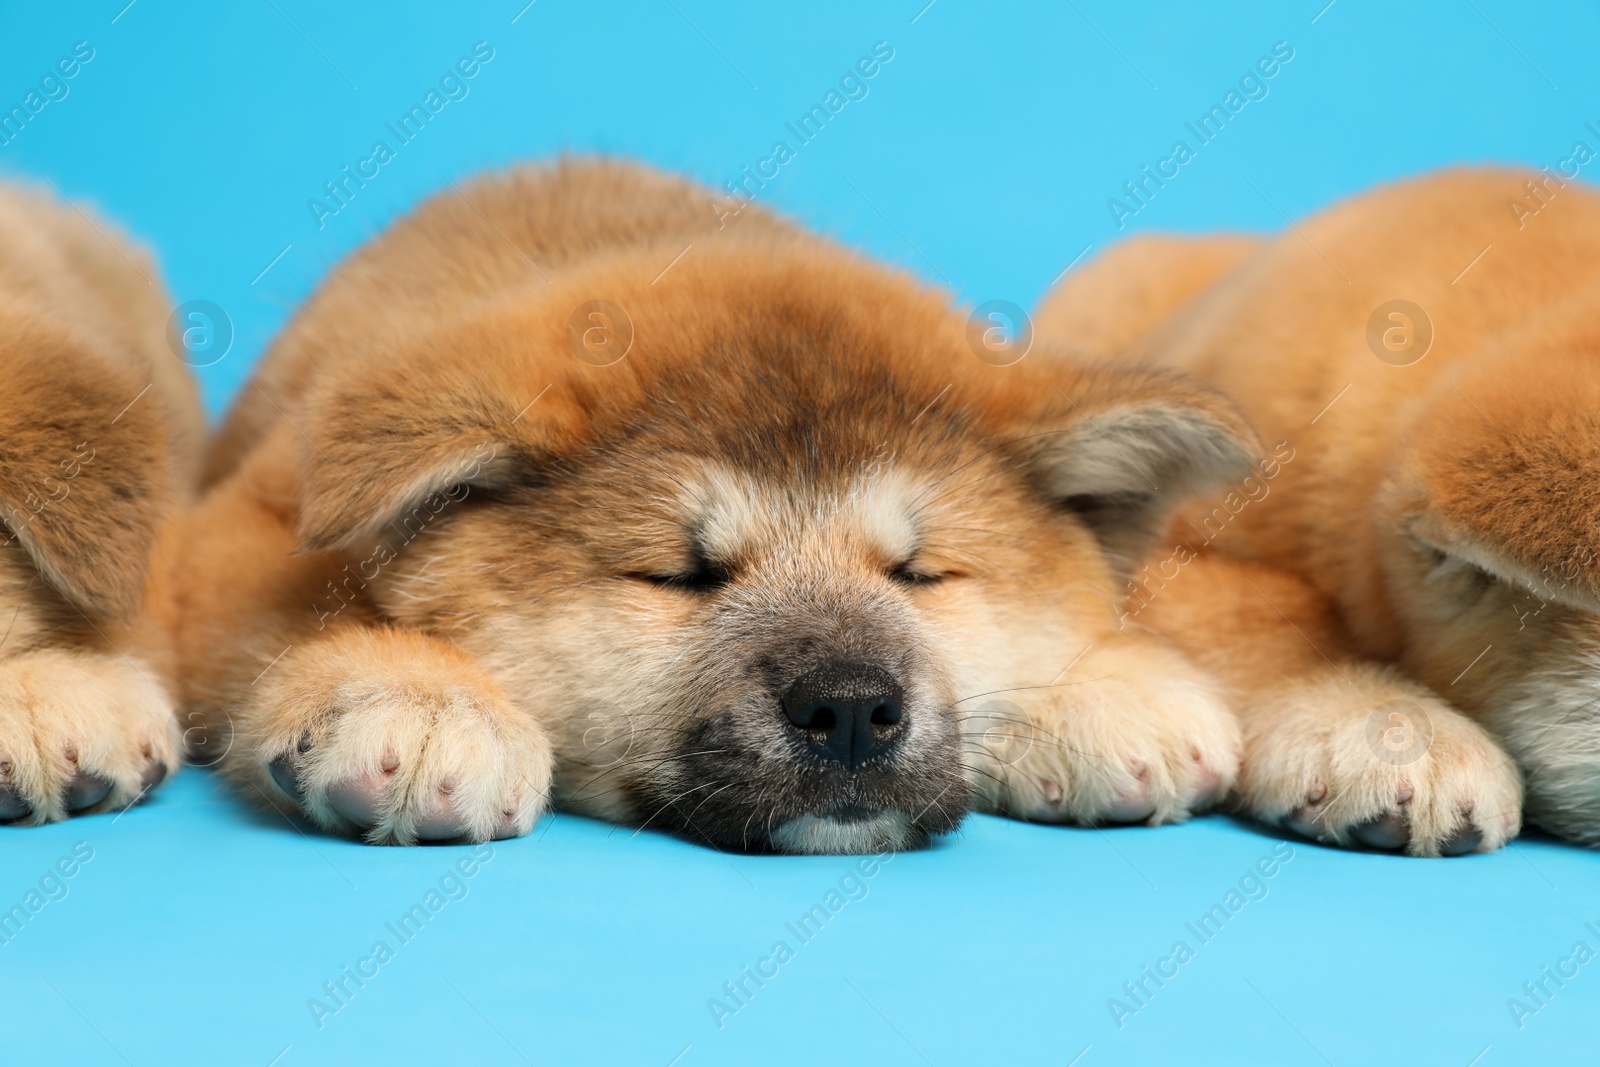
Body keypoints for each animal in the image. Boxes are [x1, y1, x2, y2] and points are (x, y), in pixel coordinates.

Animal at [178, 158, 1260, 857]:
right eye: (678, 576)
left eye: (920, 574)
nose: (853, 708)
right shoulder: (241, 527)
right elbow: (286, 611)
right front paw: (416, 691)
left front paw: (1104, 683)